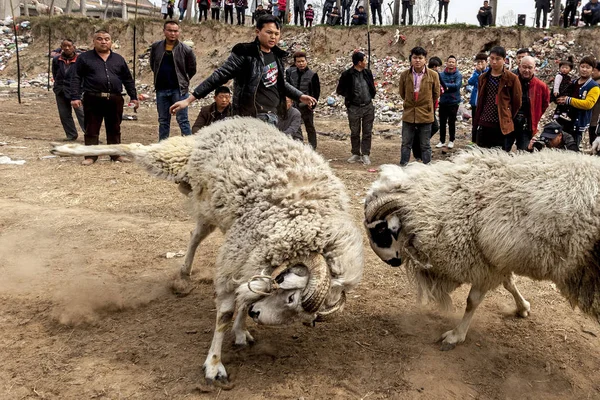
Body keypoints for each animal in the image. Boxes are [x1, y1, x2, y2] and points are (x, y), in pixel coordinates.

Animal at [50, 117, 360, 386]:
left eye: (307, 320)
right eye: (290, 295)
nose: (258, 315)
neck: (305, 218)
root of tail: (235, 120)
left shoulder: (250, 254)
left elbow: (246, 295)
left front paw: (241, 330)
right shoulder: (243, 252)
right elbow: (225, 312)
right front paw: (214, 364)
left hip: (209, 205)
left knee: (195, 235)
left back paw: (184, 274)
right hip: (178, 159)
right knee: (136, 148)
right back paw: (65, 149)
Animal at [364, 149, 596, 350]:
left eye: (382, 229)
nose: (391, 262)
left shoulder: (481, 264)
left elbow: (471, 302)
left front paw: (456, 336)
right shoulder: (494, 260)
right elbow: (509, 283)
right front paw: (523, 307)